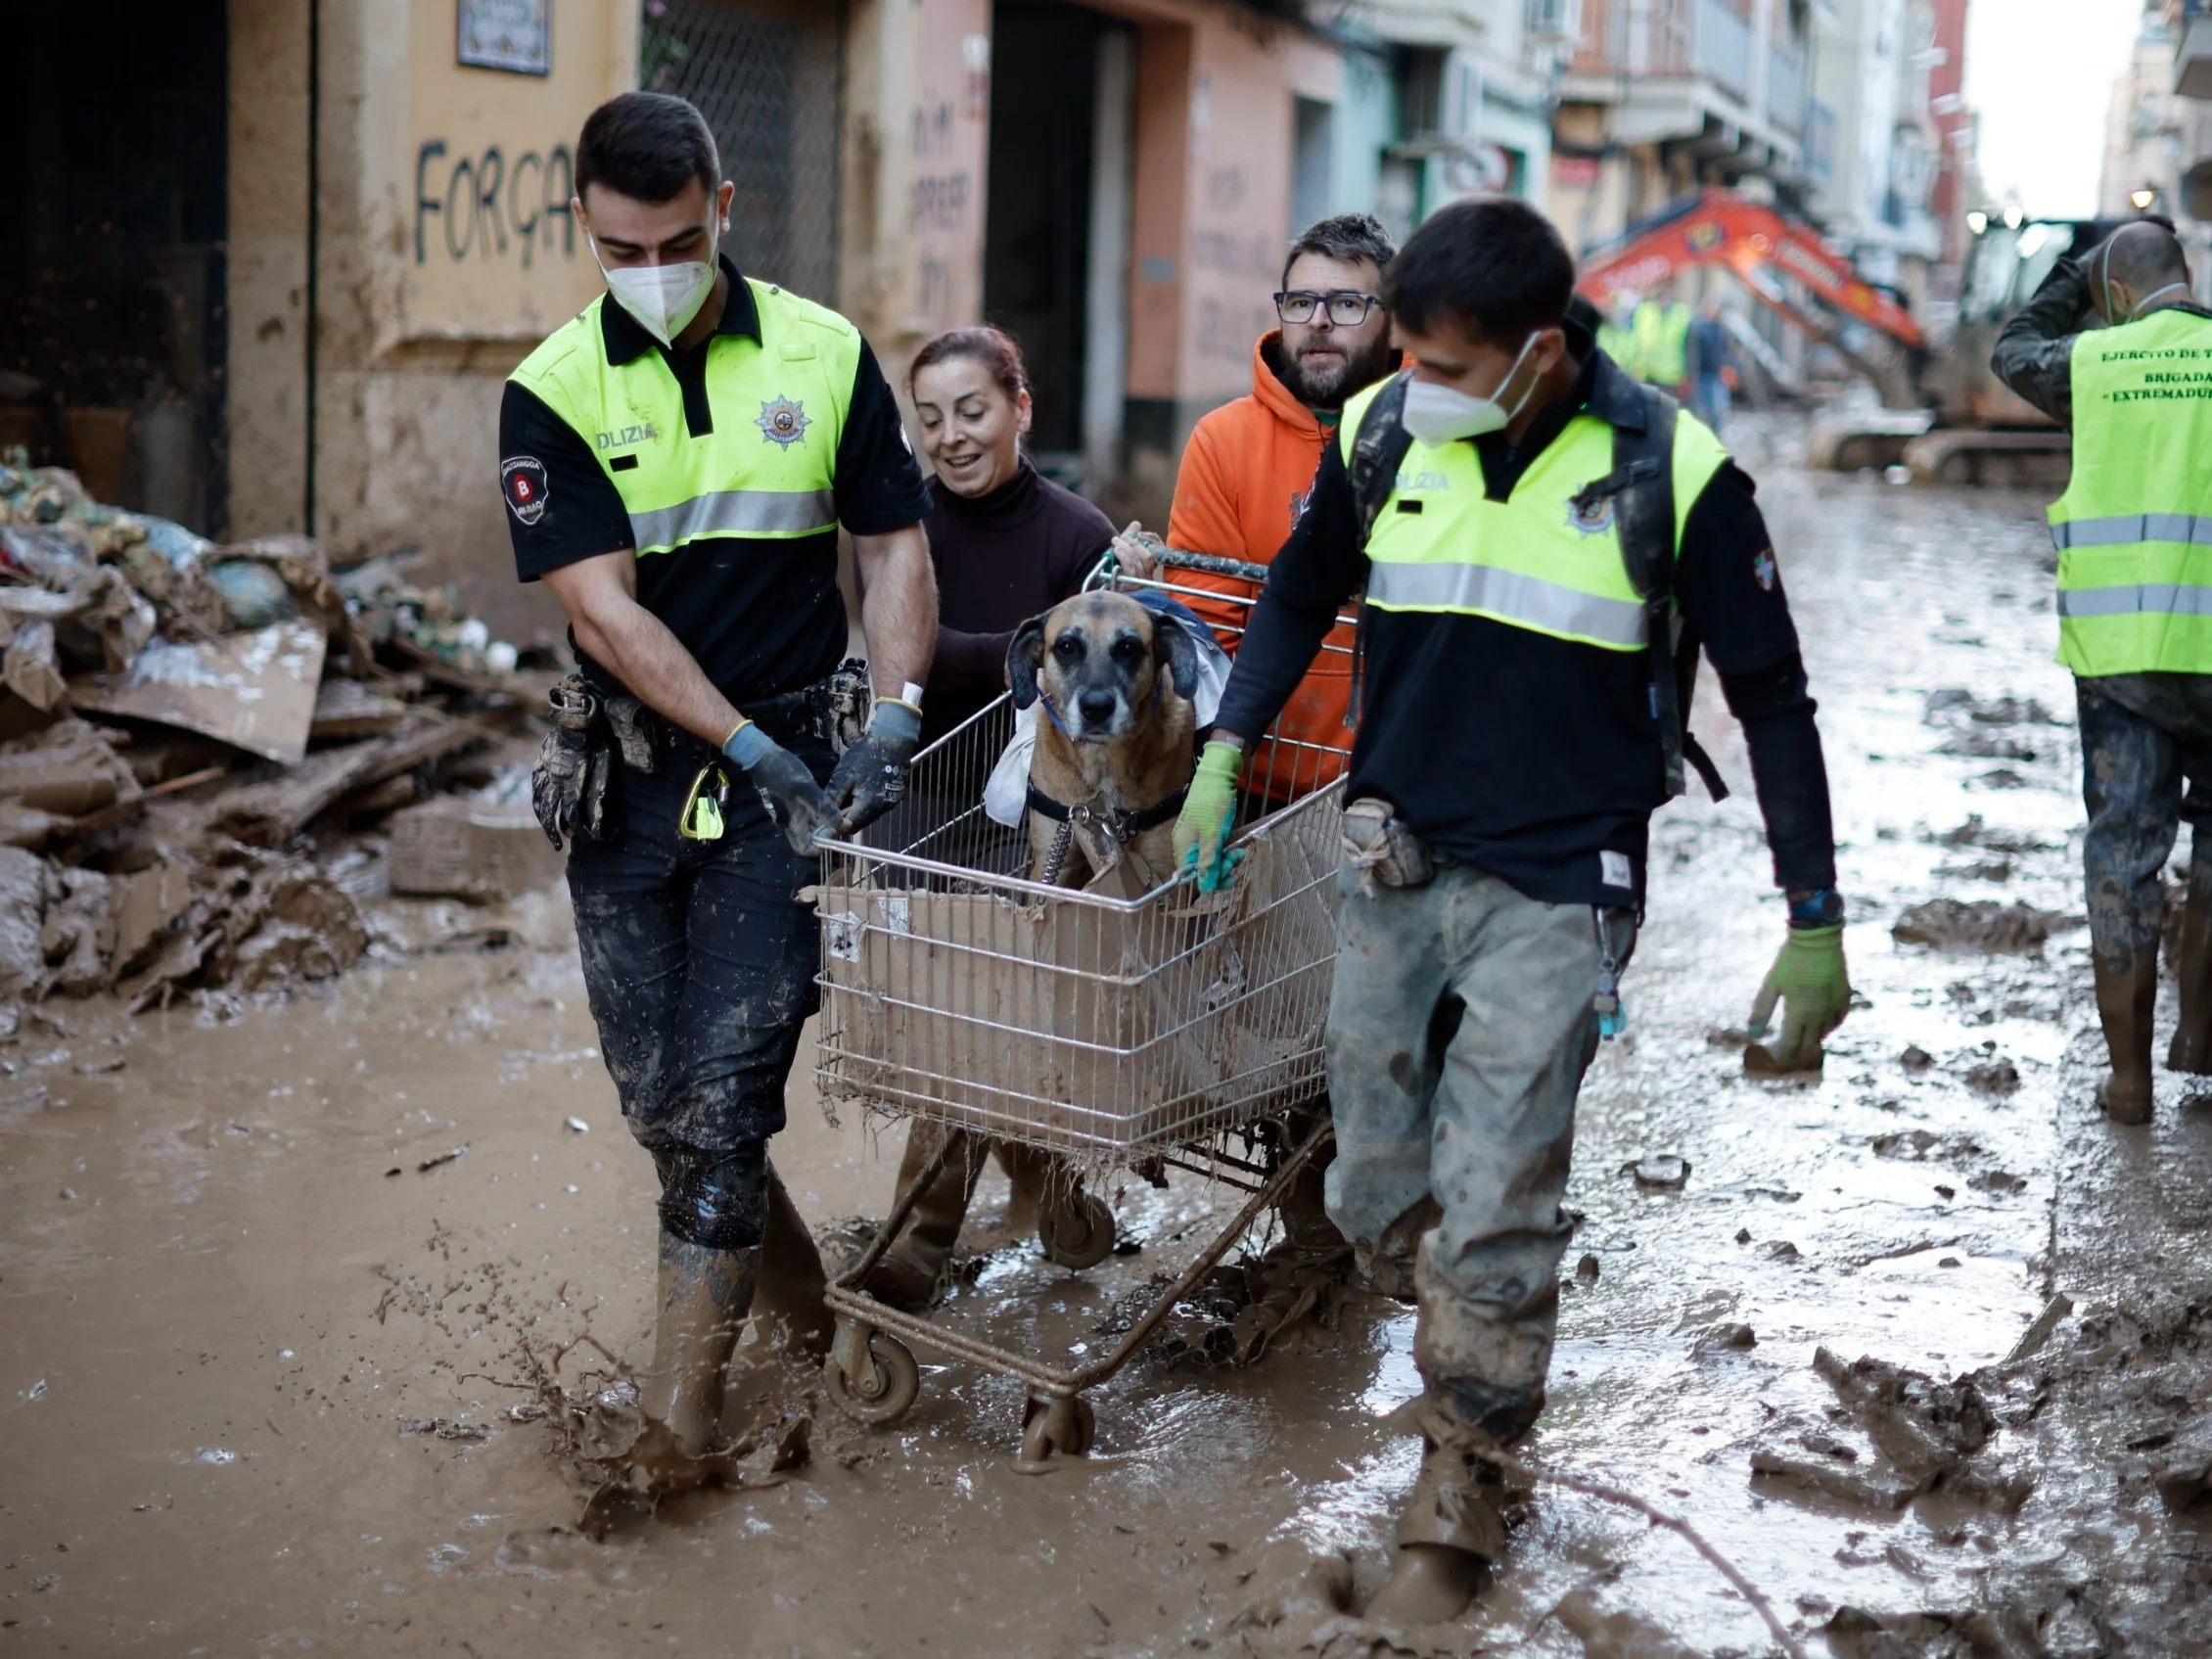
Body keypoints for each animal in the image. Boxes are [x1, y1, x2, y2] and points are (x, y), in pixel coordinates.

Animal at [1013, 588, 1203, 889]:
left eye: (1128, 647)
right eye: (1066, 647)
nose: (1097, 707)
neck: (1103, 759)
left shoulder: (1164, 870)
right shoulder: (1053, 864)